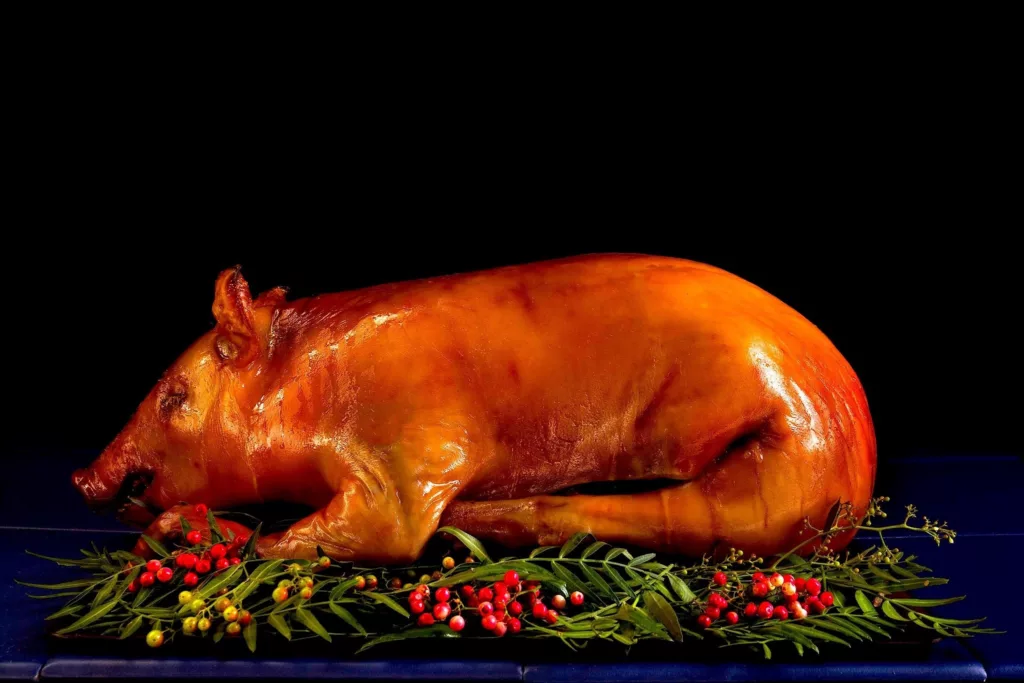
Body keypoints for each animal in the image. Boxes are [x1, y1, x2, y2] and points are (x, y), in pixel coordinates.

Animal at [73, 255, 876, 563]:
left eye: (174, 396)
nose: (82, 478)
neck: (309, 390)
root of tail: (856, 461)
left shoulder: (409, 449)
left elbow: (374, 530)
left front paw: (211, 536)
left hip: (775, 475)